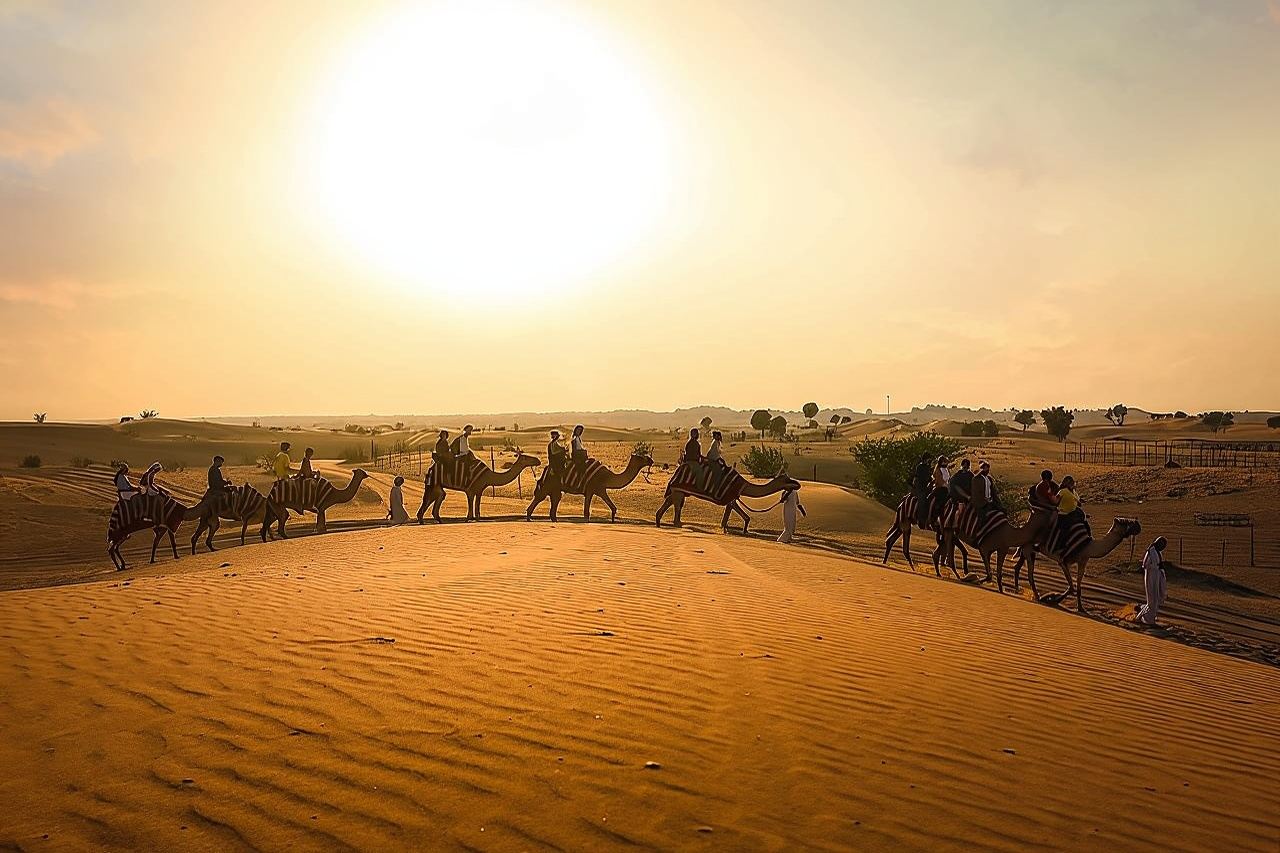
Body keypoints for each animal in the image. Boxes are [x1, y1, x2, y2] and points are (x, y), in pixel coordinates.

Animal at [525, 453, 654, 522]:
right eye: (642, 457)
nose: (651, 460)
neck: (607, 477)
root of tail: (546, 469)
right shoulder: (591, 489)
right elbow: (587, 511)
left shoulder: (600, 490)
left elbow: (613, 507)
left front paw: (613, 520)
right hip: (550, 484)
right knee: (540, 496)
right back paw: (529, 517)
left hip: (555, 488)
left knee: (554, 499)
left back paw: (552, 519)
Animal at [655, 464, 800, 533]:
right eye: (787, 480)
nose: (798, 484)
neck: (743, 486)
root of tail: (677, 471)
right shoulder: (731, 497)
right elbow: (734, 516)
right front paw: (730, 530)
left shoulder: (732, 498)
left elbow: (740, 517)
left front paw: (742, 530)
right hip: (679, 490)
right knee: (676, 509)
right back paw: (678, 525)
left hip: (677, 491)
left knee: (668, 503)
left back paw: (659, 523)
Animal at [1012, 517, 1142, 608]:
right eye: (1126, 522)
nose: (1138, 525)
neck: (1088, 547)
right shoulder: (1063, 561)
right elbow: (1072, 587)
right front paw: (1051, 598)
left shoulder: (1082, 562)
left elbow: (1078, 588)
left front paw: (1081, 608)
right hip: (1029, 547)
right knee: (1029, 574)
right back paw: (1037, 597)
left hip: (1026, 549)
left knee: (1017, 567)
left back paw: (1017, 590)